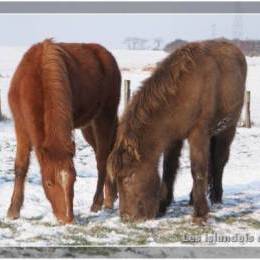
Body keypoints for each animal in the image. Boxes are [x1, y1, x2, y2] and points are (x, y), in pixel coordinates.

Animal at [7, 38, 121, 223]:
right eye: (48, 183)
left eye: (74, 180)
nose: (67, 219)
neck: (35, 77)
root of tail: (106, 55)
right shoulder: (21, 126)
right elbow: (21, 166)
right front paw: (13, 210)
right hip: (88, 126)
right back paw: (110, 196)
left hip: (105, 117)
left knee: (102, 159)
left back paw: (99, 202)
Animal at [107, 40, 246, 223]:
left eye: (129, 176)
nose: (127, 217)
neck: (184, 92)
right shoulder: (173, 138)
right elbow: (169, 169)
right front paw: (162, 205)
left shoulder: (198, 134)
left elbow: (198, 170)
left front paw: (200, 214)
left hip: (227, 129)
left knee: (219, 162)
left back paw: (216, 197)